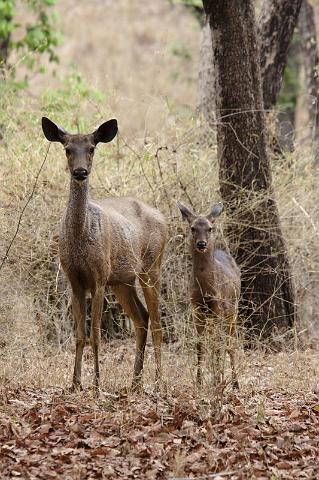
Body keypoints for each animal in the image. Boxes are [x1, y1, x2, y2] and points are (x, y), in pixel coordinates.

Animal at [42, 117, 168, 394]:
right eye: (67, 149)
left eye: (91, 148)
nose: (80, 172)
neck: (80, 238)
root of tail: (164, 217)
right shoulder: (74, 280)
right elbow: (80, 335)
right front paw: (75, 383)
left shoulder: (99, 278)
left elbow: (96, 335)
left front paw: (97, 384)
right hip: (122, 280)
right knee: (141, 318)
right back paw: (135, 382)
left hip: (151, 267)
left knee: (157, 323)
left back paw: (159, 383)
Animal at [178, 201, 240, 388]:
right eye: (192, 228)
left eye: (210, 228)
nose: (201, 244)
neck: (205, 289)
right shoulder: (196, 308)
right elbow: (200, 346)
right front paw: (199, 382)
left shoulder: (218, 307)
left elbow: (218, 345)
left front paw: (217, 380)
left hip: (233, 310)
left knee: (230, 343)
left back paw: (234, 383)